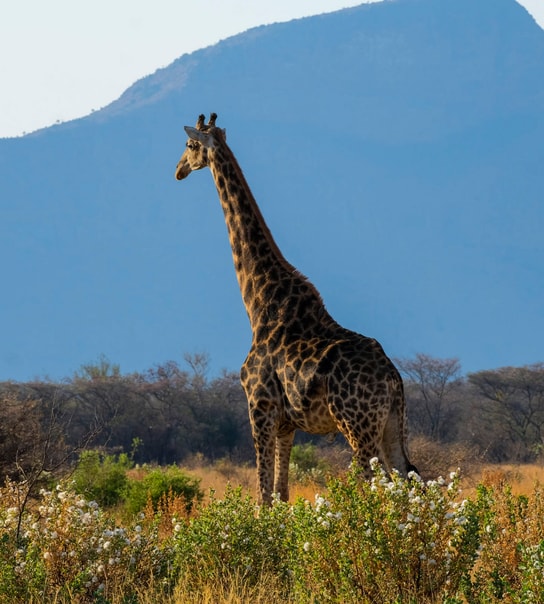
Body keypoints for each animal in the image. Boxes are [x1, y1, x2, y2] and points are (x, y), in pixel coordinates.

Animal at [174, 113, 416, 504]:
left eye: (190, 145)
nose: (178, 170)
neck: (258, 303)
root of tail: (393, 378)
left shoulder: (259, 407)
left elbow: (262, 496)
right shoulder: (287, 424)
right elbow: (281, 493)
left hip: (357, 427)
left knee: (370, 486)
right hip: (393, 424)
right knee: (410, 479)